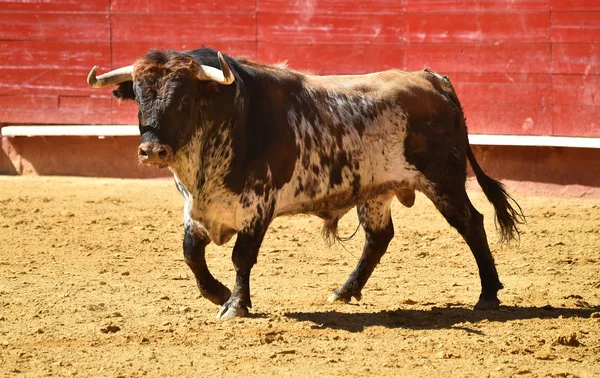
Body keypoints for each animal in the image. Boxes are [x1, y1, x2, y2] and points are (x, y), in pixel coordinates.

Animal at [86, 48, 524, 318]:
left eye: (183, 99)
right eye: (139, 96)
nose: (153, 150)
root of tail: (432, 79)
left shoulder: (257, 205)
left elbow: (241, 257)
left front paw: (236, 305)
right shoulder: (195, 208)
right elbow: (191, 254)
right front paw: (219, 293)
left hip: (443, 180)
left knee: (471, 223)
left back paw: (488, 295)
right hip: (376, 191)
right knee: (378, 238)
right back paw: (345, 290)